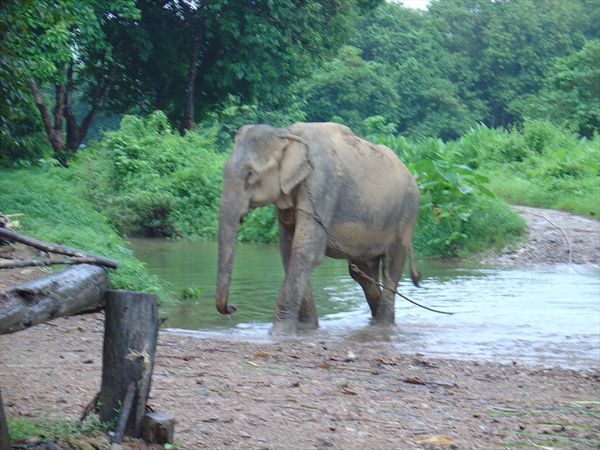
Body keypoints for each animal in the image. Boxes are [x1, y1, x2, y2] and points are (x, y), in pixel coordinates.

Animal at [213, 122, 420, 334]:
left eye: (250, 174)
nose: (232, 307)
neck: (287, 133)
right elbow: (288, 251)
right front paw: (306, 328)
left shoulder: (322, 185)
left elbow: (306, 250)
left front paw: (279, 332)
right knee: (362, 273)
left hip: (407, 213)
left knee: (391, 267)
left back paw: (382, 324)